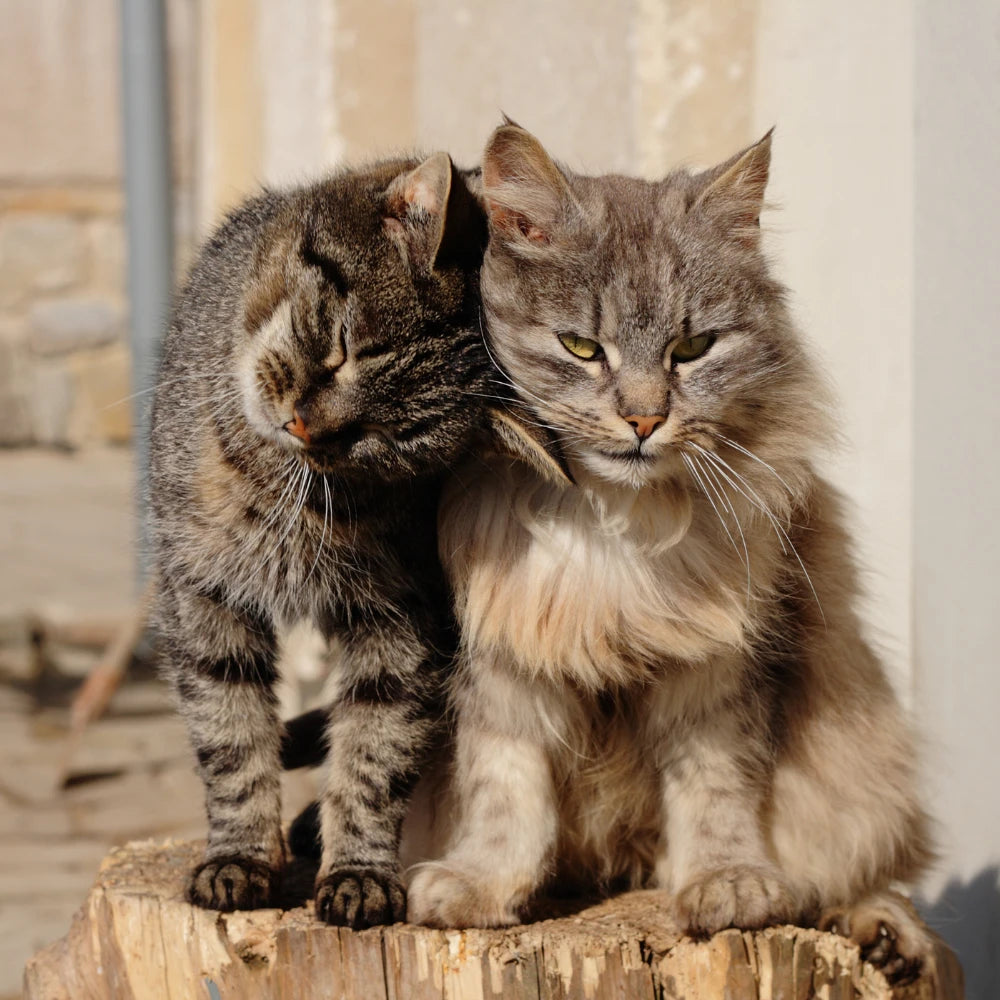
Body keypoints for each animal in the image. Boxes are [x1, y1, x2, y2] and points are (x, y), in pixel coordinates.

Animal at [408, 125, 936, 984]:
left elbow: (716, 794)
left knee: (856, 875)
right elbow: (504, 794)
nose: (644, 420)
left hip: (870, 771)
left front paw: (729, 885)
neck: (615, 526)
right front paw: (481, 886)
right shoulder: (503, 661)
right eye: (581, 347)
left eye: (692, 348)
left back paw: (884, 936)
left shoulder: (720, 668)